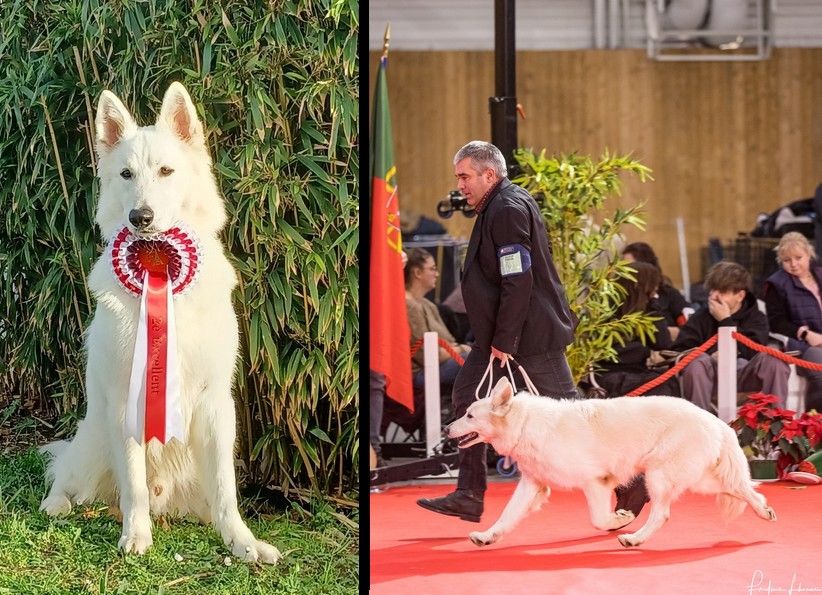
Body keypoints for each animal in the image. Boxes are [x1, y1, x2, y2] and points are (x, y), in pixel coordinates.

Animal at [38, 82, 282, 564]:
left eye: (167, 171)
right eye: (126, 174)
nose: (141, 217)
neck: (160, 270)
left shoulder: (216, 405)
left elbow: (227, 491)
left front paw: (242, 542)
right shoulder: (123, 403)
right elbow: (133, 484)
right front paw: (137, 534)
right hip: (94, 436)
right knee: (66, 474)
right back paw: (58, 503)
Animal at [448, 380, 776, 548]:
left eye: (469, 415)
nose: (447, 429)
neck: (524, 423)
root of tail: (715, 420)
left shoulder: (596, 481)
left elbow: (598, 519)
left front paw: (619, 520)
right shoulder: (532, 484)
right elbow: (507, 515)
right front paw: (487, 536)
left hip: (660, 476)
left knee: (663, 514)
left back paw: (634, 538)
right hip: (698, 478)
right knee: (741, 488)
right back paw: (764, 511)